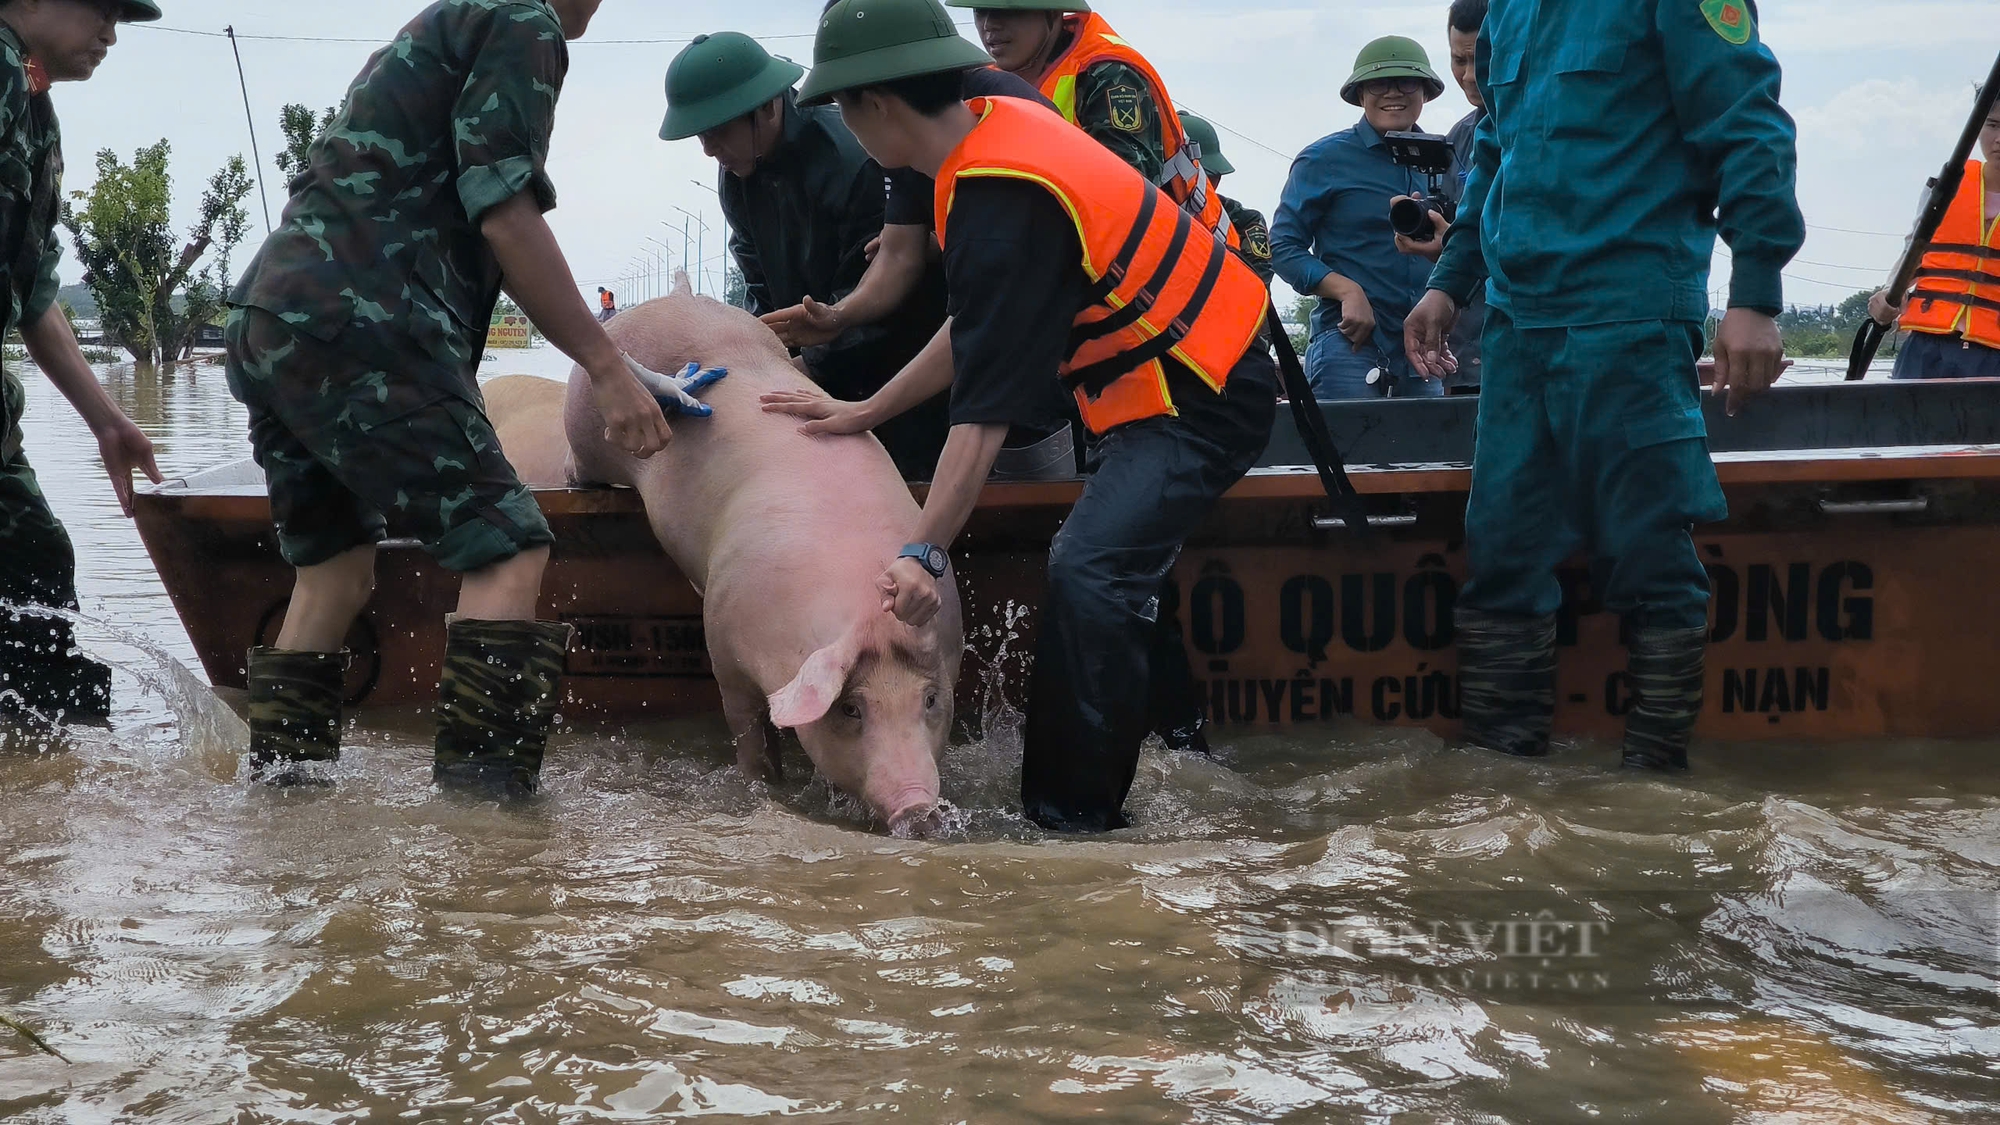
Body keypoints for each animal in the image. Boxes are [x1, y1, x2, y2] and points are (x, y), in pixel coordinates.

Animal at [484, 276, 960, 828]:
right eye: (851, 708)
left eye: (930, 700)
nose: (919, 805)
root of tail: (675, 294)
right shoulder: (723, 642)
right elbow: (747, 728)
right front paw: (763, 784)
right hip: (586, 425)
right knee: (580, 466)